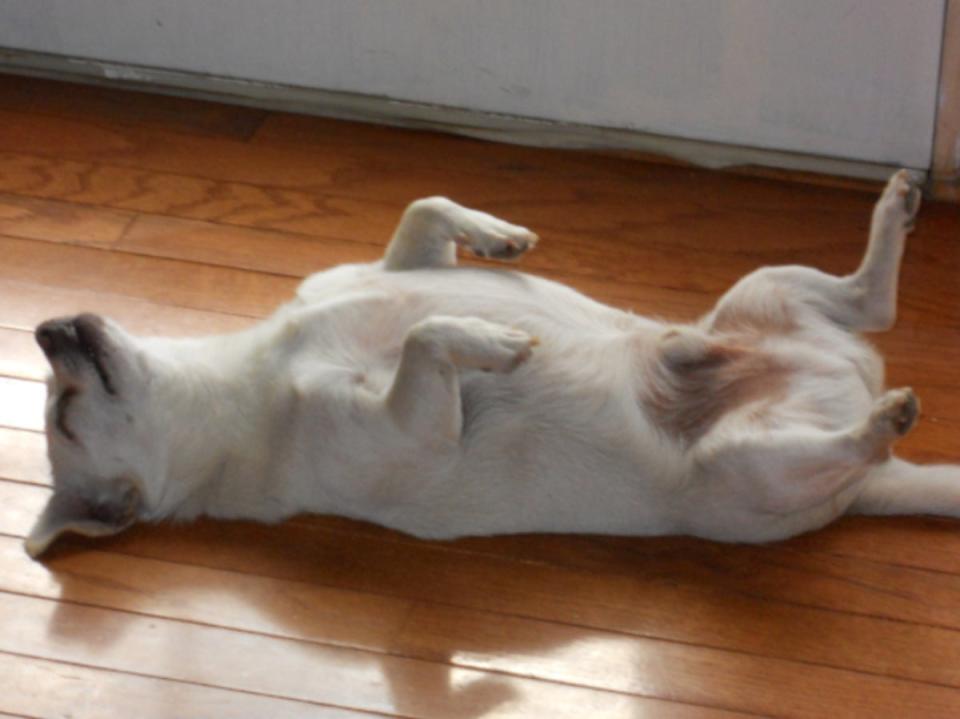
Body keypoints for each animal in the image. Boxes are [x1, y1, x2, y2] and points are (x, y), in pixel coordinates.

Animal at [22, 167, 952, 556]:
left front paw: (497, 235)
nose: (41, 327)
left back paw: (896, 208)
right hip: (747, 466)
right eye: (62, 412)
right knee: (851, 430)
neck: (239, 379)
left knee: (872, 302)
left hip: (763, 293)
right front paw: (493, 341)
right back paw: (887, 413)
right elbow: (430, 333)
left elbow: (423, 212)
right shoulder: (413, 430)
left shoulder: (386, 266)